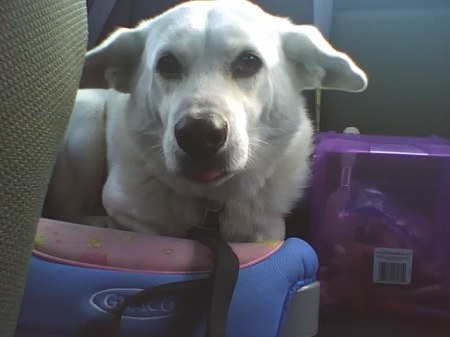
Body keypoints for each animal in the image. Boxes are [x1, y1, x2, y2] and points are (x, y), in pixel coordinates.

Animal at [42, 0, 368, 242]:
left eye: (249, 61)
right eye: (167, 63)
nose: (199, 134)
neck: (211, 205)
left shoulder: (270, 227)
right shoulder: (122, 205)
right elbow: (160, 231)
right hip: (87, 127)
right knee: (68, 209)